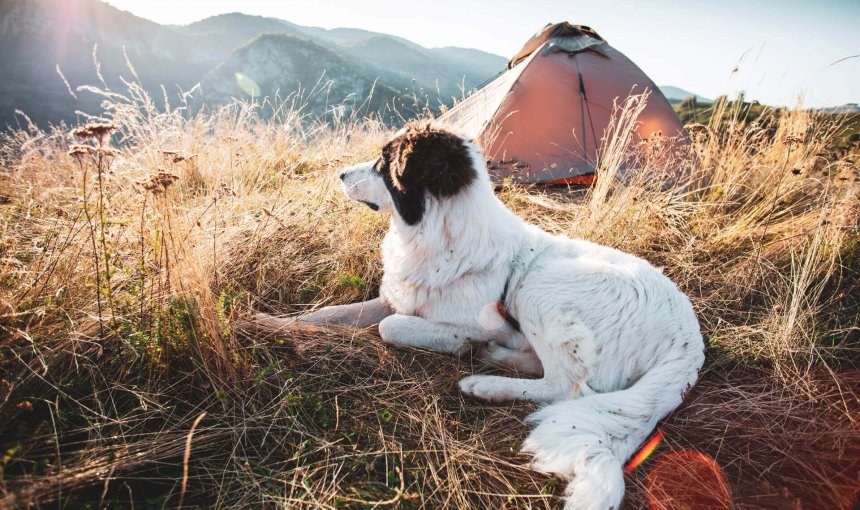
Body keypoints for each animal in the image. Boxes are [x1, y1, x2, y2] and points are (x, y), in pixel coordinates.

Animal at [290, 123, 704, 510]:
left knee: (564, 386)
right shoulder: (395, 295)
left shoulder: (463, 319)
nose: (340, 174)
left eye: (382, 162)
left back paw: (485, 383)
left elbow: (390, 326)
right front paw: (289, 324)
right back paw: (495, 357)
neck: (439, 234)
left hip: (539, 286)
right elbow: (335, 313)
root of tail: (689, 340)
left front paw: (460, 346)